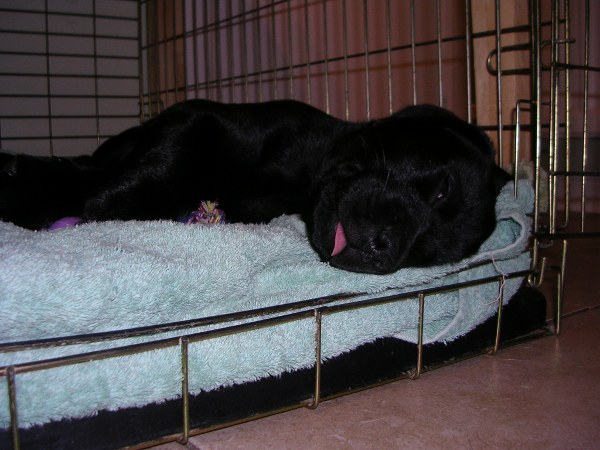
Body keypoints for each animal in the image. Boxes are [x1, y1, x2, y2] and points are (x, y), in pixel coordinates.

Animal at [0, 99, 508, 274]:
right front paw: (112, 201)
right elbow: (162, 167)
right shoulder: (199, 120)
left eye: (428, 254)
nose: (385, 250)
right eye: (441, 190)